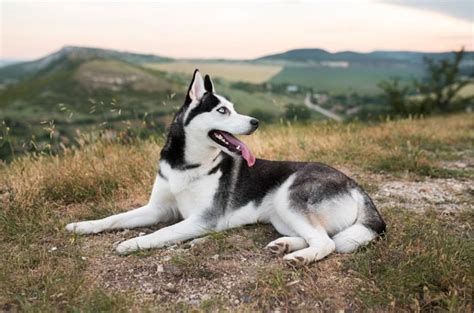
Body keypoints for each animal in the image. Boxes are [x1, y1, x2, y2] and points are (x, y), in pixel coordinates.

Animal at [66, 69, 386, 264]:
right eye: (222, 110)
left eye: (233, 108)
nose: (256, 122)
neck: (187, 164)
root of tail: (354, 185)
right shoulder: (157, 208)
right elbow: (114, 218)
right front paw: (82, 225)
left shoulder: (201, 220)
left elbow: (160, 234)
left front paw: (133, 244)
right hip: (281, 214)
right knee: (320, 235)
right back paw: (284, 244)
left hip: (289, 197)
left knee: (327, 242)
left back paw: (299, 257)